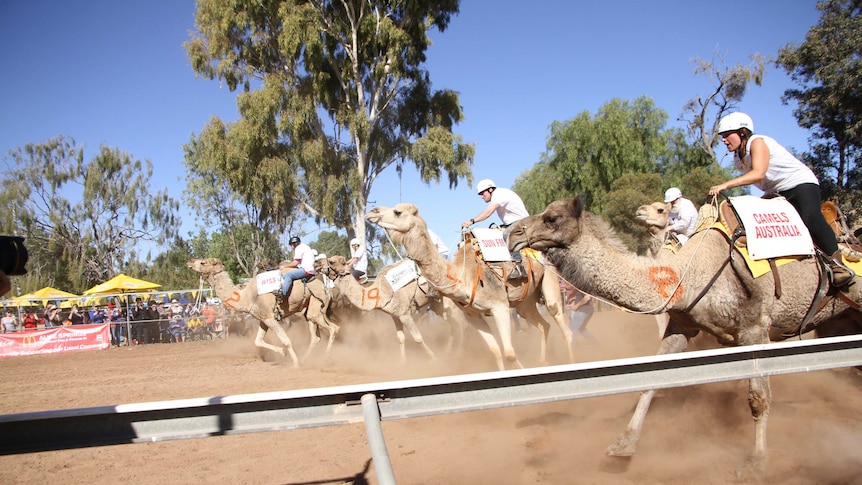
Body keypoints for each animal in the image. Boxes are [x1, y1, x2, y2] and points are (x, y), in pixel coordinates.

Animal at [187, 258, 340, 366]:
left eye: (203, 262)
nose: (190, 261)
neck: (246, 296)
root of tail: (326, 289)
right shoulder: (263, 319)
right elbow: (258, 341)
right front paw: (283, 353)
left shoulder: (270, 318)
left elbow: (286, 340)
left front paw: (295, 364)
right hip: (310, 312)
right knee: (317, 336)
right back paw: (306, 359)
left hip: (316, 307)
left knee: (333, 329)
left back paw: (324, 359)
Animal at [364, 202, 572, 368]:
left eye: (397, 212)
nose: (372, 212)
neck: (462, 276)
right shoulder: (473, 315)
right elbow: (496, 351)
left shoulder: (499, 307)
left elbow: (510, 354)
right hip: (524, 301)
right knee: (543, 325)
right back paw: (543, 360)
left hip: (550, 280)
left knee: (561, 321)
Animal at [506, 195, 862, 470]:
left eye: (552, 218)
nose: (512, 234)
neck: (689, 275)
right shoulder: (682, 326)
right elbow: (650, 381)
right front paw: (623, 445)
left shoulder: (754, 328)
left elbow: (759, 398)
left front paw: (757, 462)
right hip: (837, 321)